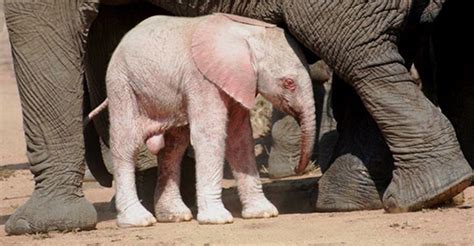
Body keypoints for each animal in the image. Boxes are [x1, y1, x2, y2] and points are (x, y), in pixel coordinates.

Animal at [105, 13, 316, 227]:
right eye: (289, 83)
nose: (297, 169)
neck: (249, 34)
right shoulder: (203, 80)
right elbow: (210, 135)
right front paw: (218, 219)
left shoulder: (239, 82)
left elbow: (239, 138)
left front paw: (263, 213)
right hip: (121, 84)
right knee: (127, 143)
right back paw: (138, 219)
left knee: (174, 146)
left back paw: (175, 215)